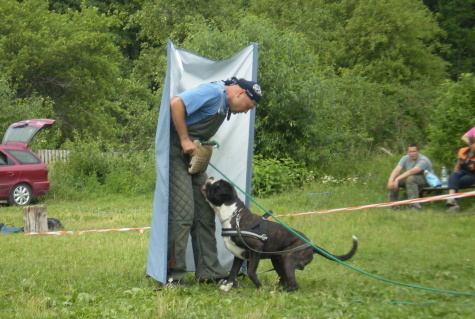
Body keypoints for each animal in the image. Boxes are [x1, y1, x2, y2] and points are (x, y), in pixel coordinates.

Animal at [203, 178, 358, 292]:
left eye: (217, 185)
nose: (210, 177)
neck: (234, 216)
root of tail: (311, 245)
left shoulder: (256, 249)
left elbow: (251, 271)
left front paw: (260, 287)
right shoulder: (239, 255)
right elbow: (232, 272)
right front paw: (227, 287)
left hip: (288, 258)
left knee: (293, 285)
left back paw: (276, 291)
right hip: (278, 260)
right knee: (284, 279)